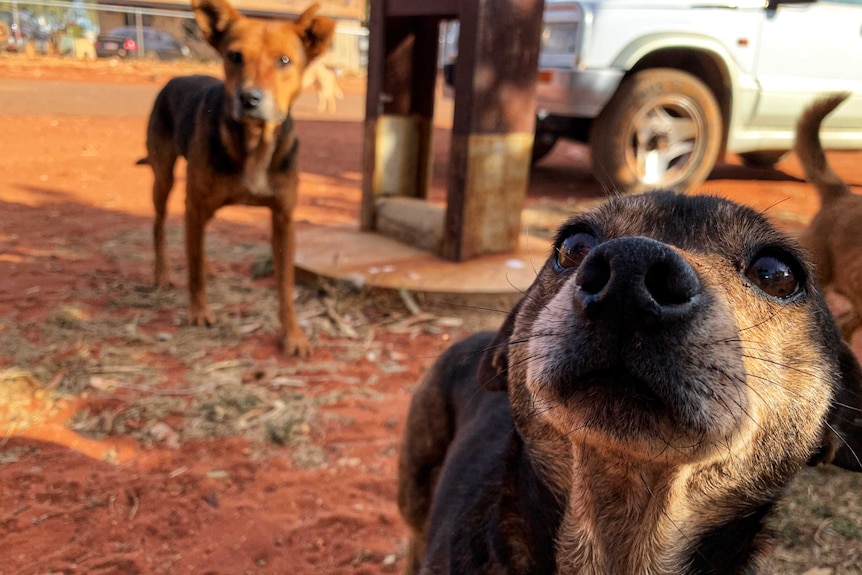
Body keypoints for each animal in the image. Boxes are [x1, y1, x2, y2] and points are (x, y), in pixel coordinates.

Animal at [138, 0, 334, 358]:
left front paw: (293, 335)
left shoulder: (283, 219)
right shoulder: (195, 204)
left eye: (284, 60)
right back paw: (163, 274)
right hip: (165, 178)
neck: (255, 142)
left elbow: (285, 286)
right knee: (160, 226)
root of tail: (175, 79)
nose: (249, 98)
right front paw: (199, 311)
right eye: (234, 56)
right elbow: (194, 273)